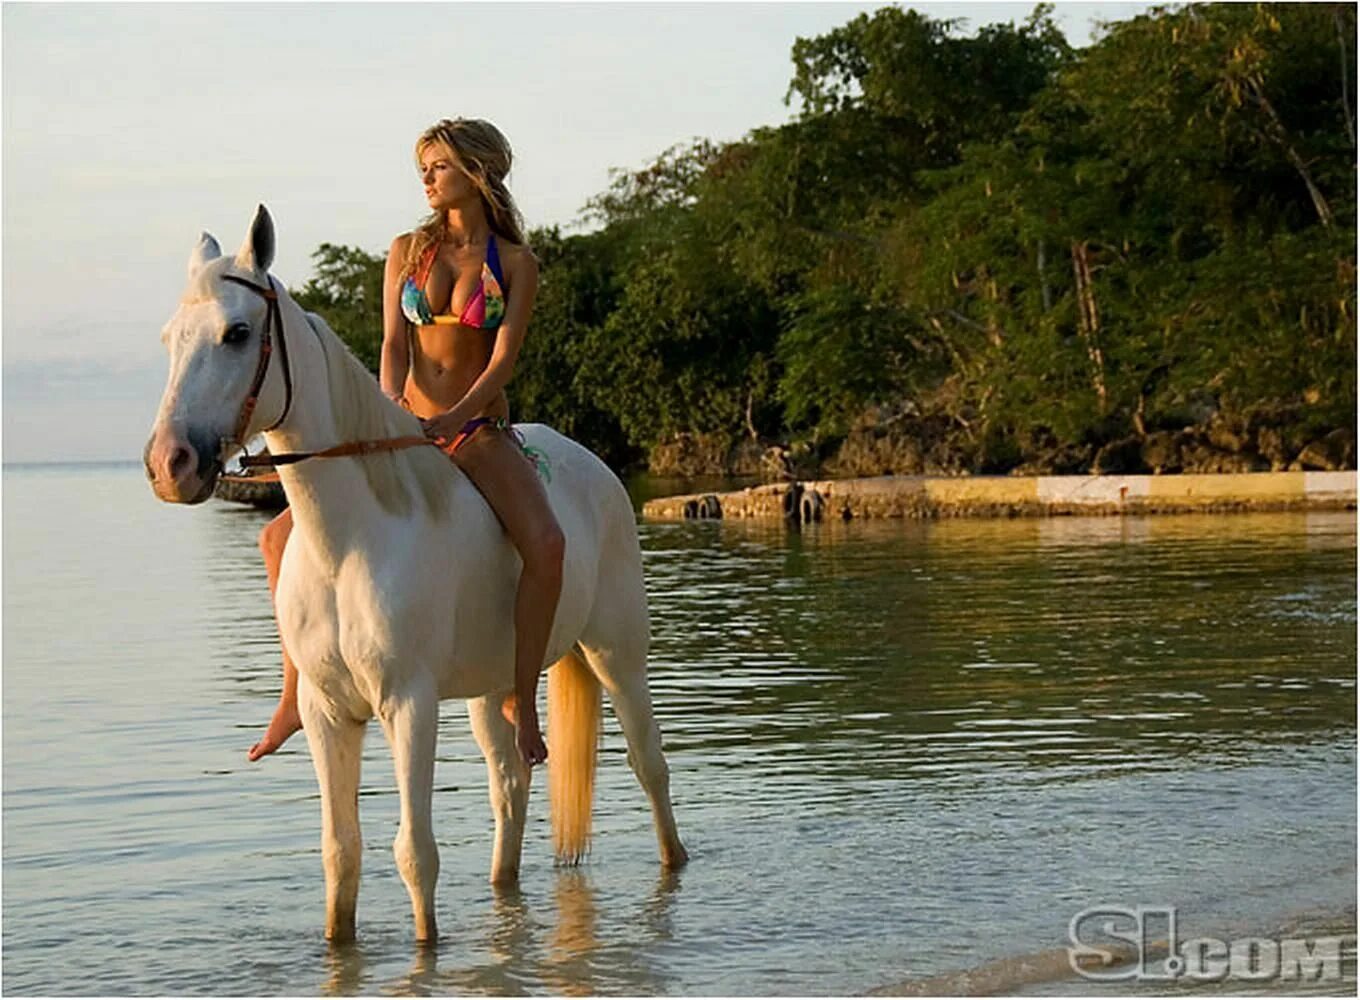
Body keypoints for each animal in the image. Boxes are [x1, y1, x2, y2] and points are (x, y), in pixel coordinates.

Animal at [143, 206, 685, 941]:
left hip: (617, 655)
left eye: (238, 333)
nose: (170, 464)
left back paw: (673, 863)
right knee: (510, 788)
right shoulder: (327, 714)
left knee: (649, 765)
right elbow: (340, 853)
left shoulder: (408, 704)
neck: (350, 541)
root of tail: (594, 467)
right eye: (170, 338)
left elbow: (414, 854)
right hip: (493, 688)